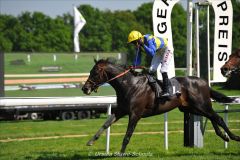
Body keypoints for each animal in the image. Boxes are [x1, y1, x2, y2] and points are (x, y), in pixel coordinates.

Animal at [81, 59, 239, 154]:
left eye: (95, 72)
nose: (85, 88)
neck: (130, 85)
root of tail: (204, 82)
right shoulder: (121, 110)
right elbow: (106, 123)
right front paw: (90, 141)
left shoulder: (135, 114)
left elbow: (127, 135)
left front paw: (121, 153)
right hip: (191, 107)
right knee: (213, 117)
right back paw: (223, 136)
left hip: (201, 104)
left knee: (218, 118)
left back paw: (233, 136)